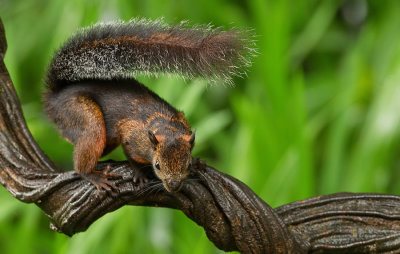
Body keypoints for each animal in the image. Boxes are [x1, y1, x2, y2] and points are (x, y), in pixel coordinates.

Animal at [43, 17, 255, 192]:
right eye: (157, 165)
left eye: (187, 165)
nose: (173, 186)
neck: (166, 127)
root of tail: (55, 97)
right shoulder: (131, 135)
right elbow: (131, 155)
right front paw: (139, 173)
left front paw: (198, 162)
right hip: (81, 115)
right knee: (86, 150)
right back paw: (94, 176)